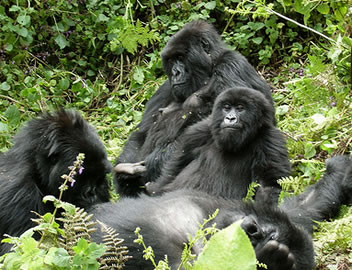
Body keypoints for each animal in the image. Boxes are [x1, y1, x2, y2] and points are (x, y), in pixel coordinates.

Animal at [91, 156, 352, 270]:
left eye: (269, 238)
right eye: (269, 230)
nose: (253, 229)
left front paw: (272, 260)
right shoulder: (289, 215)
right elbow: (308, 206)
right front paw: (340, 169)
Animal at [115, 19, 276, 196]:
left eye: (180, 57)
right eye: (171, 60)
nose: (175, 73)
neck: (209, 68)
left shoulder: (232, 65)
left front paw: (150, 164)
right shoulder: (166, 87)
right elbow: (141, 133)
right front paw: (124, 177)